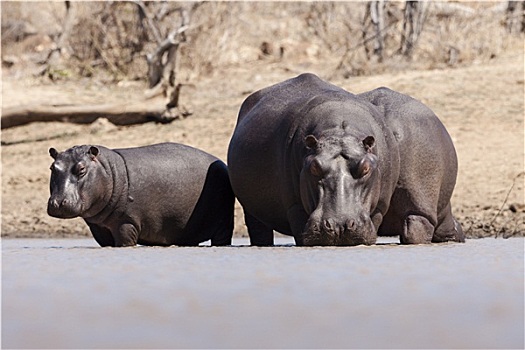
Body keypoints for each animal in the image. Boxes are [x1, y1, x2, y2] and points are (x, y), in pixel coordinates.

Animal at [47, 142, 233, 246]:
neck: (108, 171)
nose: (58, 203)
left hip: (223, 224)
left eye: (81, 169)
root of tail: (221, 163)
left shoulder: (126, 223)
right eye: (52, 167)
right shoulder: (99, 228)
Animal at [227, 73, 464, 246]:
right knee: (259, 228)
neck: (340, 130)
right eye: (314, 167)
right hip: (253, 210)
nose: (339, 225)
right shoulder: (294, 204)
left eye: (366, 168)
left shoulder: (381, 204)